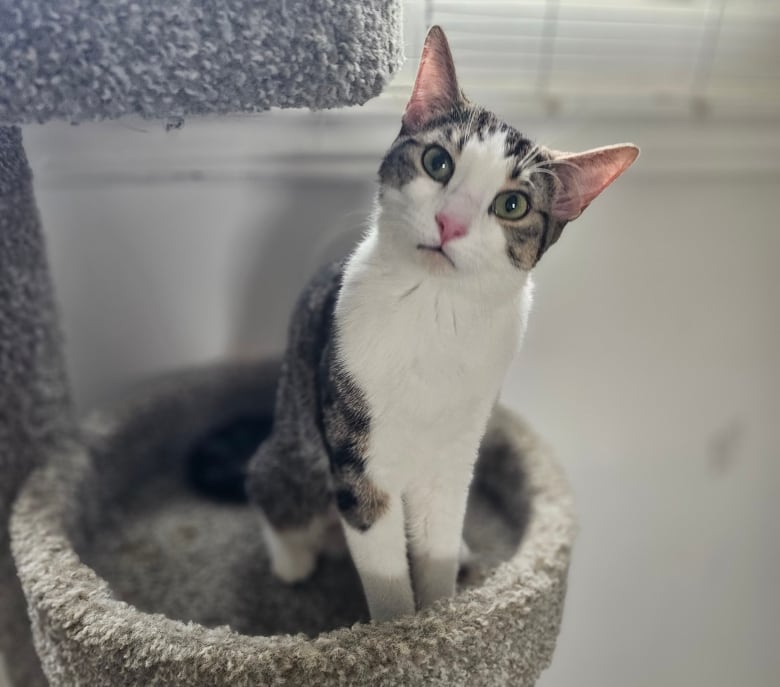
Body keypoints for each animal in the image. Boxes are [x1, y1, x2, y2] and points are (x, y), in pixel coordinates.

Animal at [245, 25, 640, 624]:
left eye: (513, 204)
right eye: (437, 162)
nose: (450, 222)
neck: (436, 313)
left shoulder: (457, 448)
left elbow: (436, 542)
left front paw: (443, 614)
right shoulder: (360, 456)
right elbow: (384, 570)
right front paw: (397, 632)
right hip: (295, 449)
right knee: (270, 488)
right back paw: (292, 559)